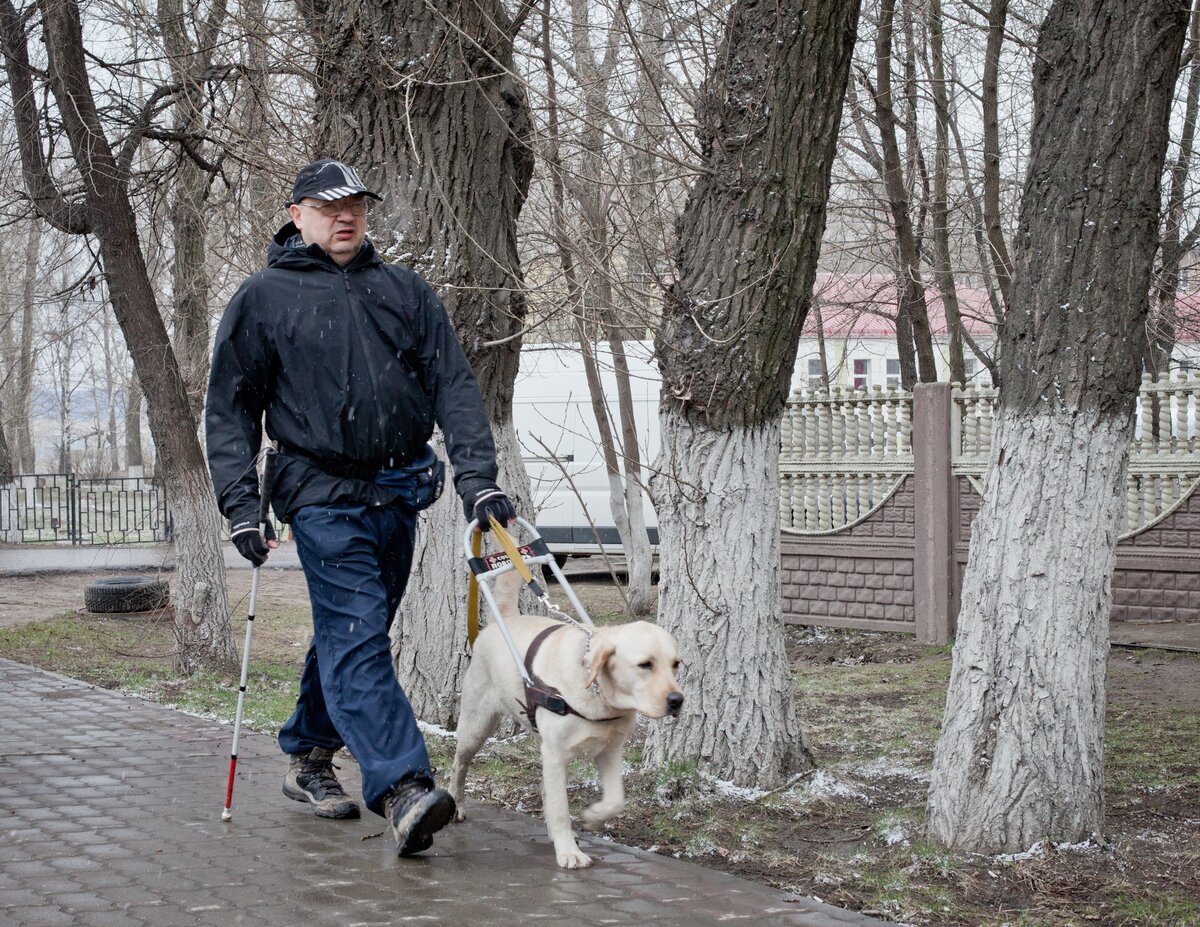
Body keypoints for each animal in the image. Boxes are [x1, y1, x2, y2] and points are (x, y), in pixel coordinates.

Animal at [448, 571, 686, 869]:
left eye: (676, 664)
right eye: (645, 664)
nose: (677, 700)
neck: (598, 695)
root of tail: (505, 616)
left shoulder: (610, 751)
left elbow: (615, 800)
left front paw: (593, 817)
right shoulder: (555, 753)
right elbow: (561, 809)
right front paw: (568, 853)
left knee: (546, 789)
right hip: (476, 726)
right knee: (459, 766)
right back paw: (456, 804)